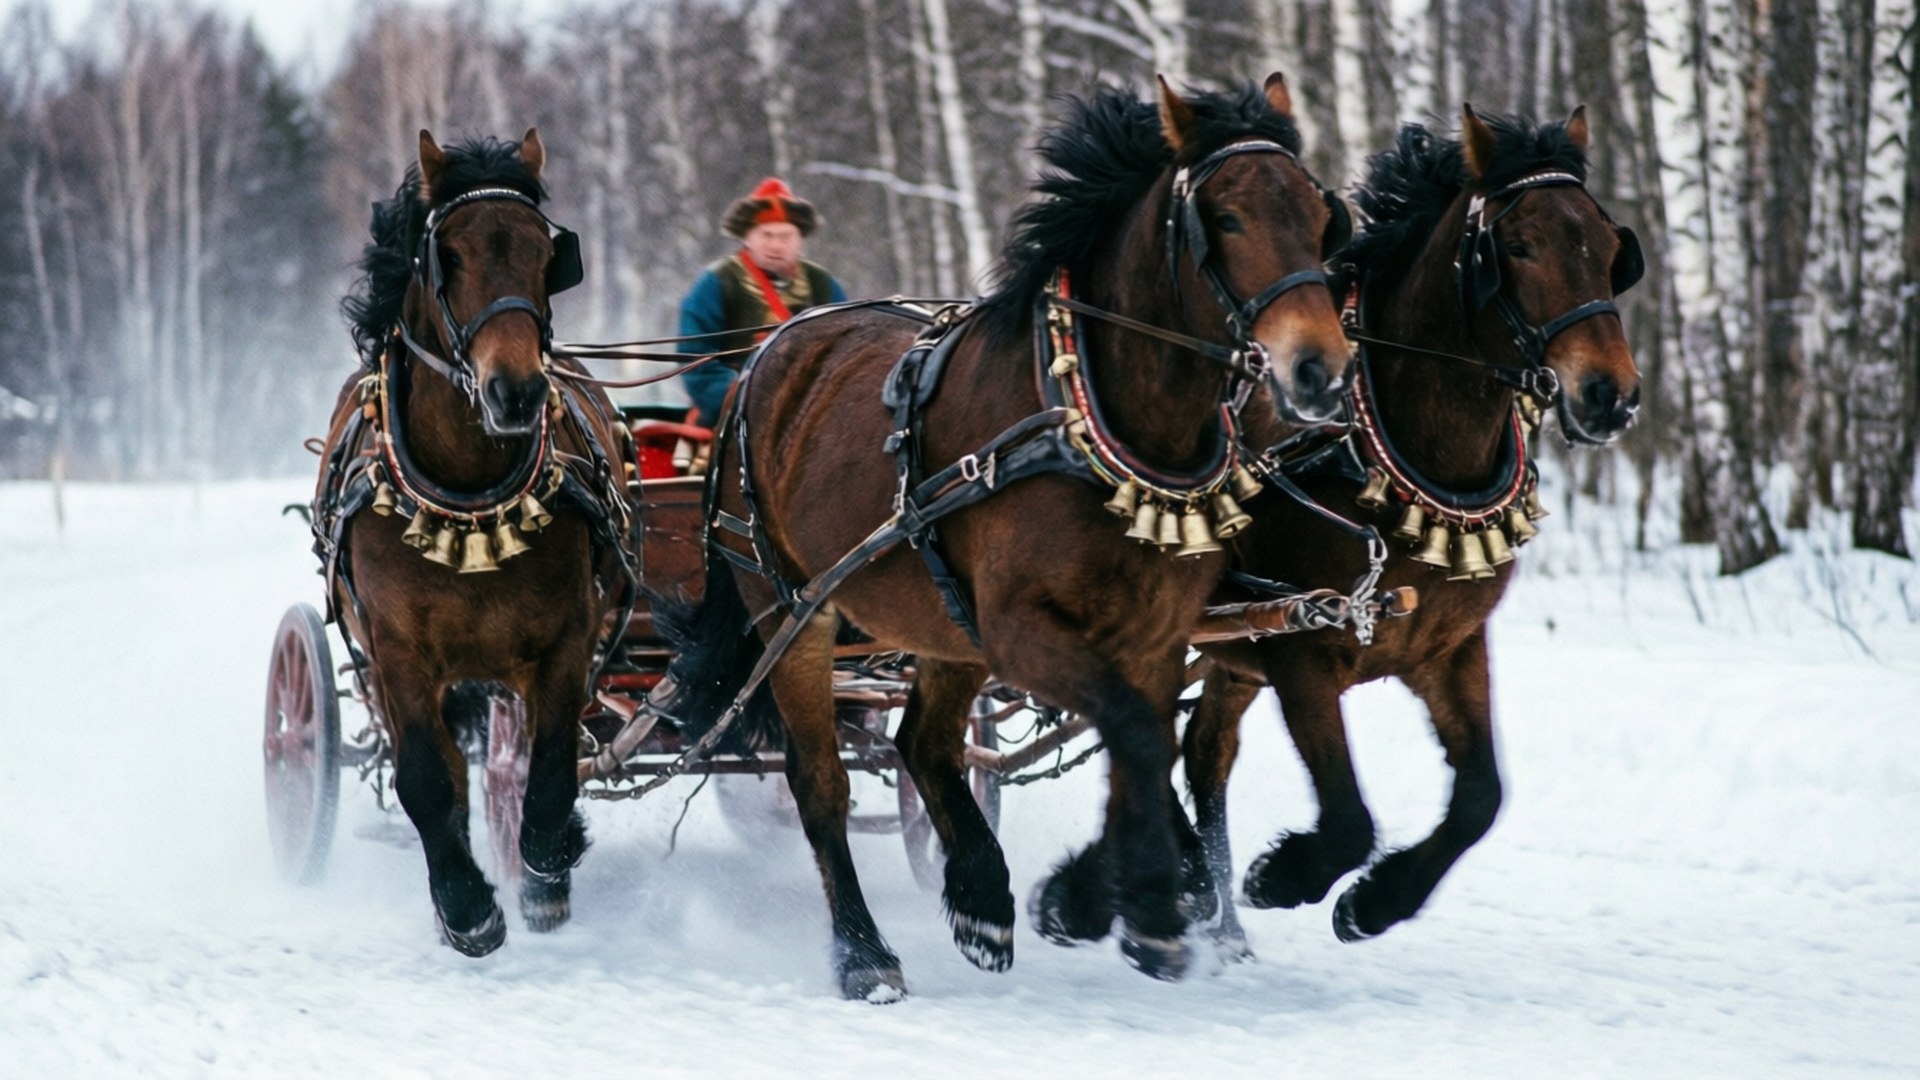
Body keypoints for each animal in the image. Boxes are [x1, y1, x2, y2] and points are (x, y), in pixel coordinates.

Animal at [313, 130, 634, 956]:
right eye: (447, 257)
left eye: (545, 253)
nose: (514, 392)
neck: (468, 495)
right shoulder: (396, 652)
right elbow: (427, 780)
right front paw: (466, 909)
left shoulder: (566, 640)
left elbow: (550, 771)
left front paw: (548, 871)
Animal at [660, 76, 1353, 1000]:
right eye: (1229, 218)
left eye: (1318, 214)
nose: (1320, 370)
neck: (1095, 417)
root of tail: (761, 361)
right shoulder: (1024, 631)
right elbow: (1137, 736)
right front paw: (1142, 908)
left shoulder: (1154, 634)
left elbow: (1146, 741)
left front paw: (1107, 899)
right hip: (793, 612)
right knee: (821, 783)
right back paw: (865, 954)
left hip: (943, 623)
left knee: (923, 744)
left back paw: (982, 900)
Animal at [1179, 105, 1645, 954]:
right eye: (1517, 245)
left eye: (1604, 245)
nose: (1610, 395)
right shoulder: (1301, 648)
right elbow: (1347, 819)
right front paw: (1285, 875)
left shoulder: (1448, 648)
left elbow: (1482, 796)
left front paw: (1376, 903)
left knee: (1204, 753)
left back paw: (1218, 920)